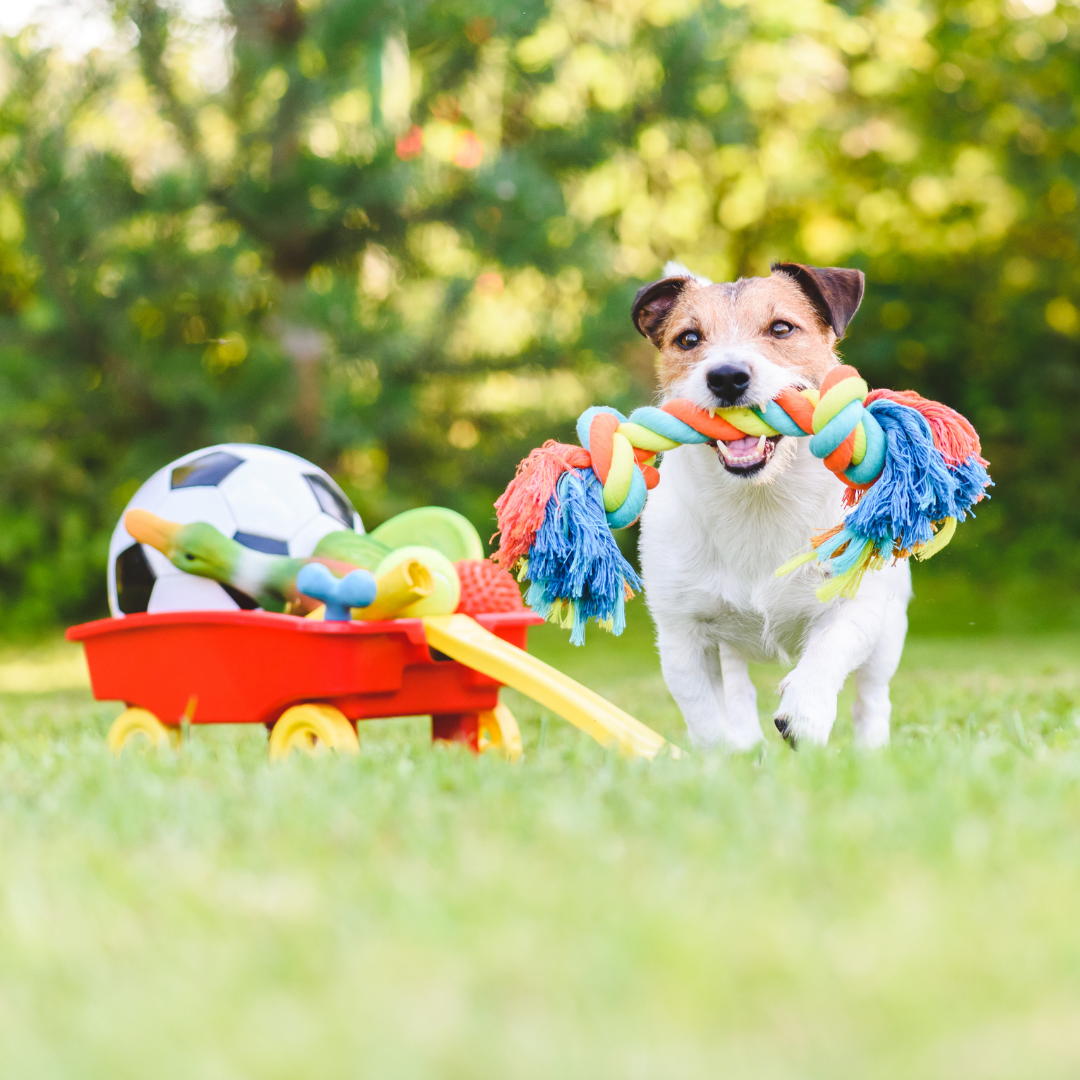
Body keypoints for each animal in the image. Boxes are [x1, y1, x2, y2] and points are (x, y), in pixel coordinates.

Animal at [630, 261, 911, 751]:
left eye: (781, 328)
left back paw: (871, 749)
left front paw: (804, 712)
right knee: (738, 692)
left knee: (871, 699)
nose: (726, 376)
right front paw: (725, 759)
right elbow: (707, 717)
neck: (759, 499)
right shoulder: (683, 634)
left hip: (889, 632)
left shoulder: (855, 606)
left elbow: (828, 649)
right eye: (688, 338)